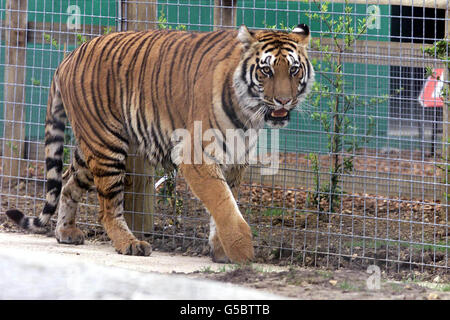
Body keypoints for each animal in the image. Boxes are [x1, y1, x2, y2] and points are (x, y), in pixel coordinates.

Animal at [4, 22, 312, 262]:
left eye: (293, 70)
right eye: (266, 71)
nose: (283, 101)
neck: (249, 111)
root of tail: (68, 57)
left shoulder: (236, 158)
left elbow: (225, 205)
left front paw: (220, 250)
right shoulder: (196, 156)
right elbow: (224, 205)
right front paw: (242, 254)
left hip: (91, 147)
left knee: (68, 183)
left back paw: (66, 232)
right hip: (107, 147)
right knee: (108, 208)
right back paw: (129, 244)